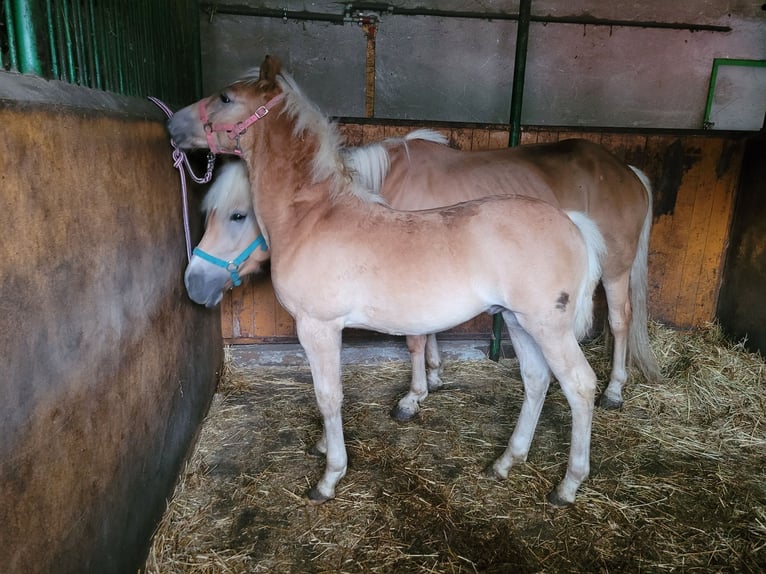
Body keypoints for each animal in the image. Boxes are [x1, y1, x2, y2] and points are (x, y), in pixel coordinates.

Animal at [170, 55, 608, 508]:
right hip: (518, 322)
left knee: (580, 386)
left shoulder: (317, 328)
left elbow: (328, 396)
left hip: (548, 327)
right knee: (536, 380)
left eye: (225, 98)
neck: (311, 218)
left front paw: (330, 476)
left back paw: (568, 485)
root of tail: (572, 223)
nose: (172, 125)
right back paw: (506, 461)